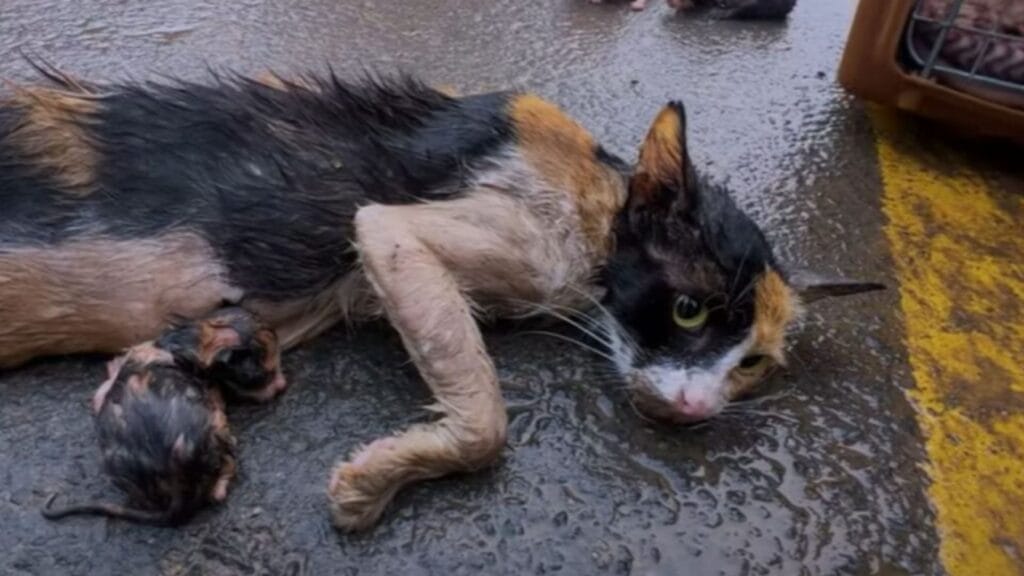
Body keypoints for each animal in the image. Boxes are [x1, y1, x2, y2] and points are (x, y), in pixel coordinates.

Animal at [0, 62, 880, 530]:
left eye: (753, 364)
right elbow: (487, 420)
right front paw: (374, 484)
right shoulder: (391, 231)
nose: (700, 411)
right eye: (688, 308)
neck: (596, 201)